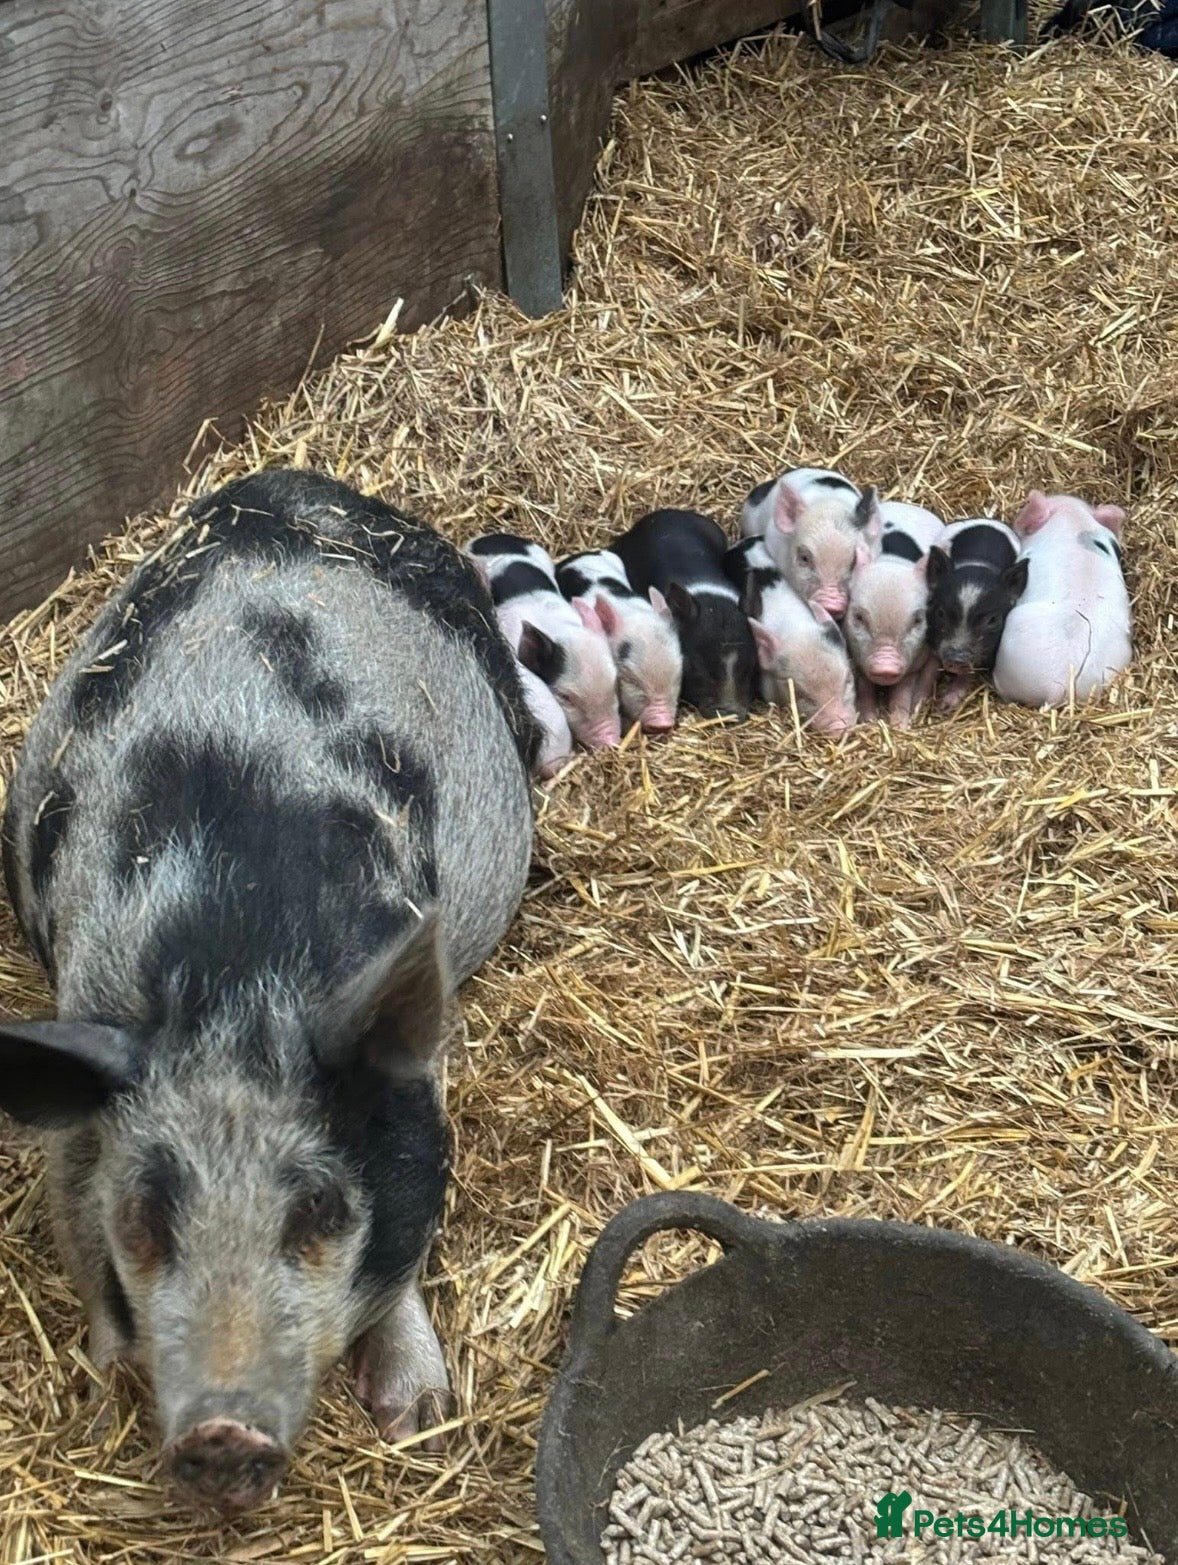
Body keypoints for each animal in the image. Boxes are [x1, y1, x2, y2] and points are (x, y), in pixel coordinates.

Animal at [0, 469, 540, 1514]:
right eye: (146, 1215)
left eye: (318, 1209)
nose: (221, 1432)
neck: (237, 976)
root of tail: (294, 479)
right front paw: (105, 1384)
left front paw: (420, 1415)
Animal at [844, 499, 945, 728]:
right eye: (859, 617)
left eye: (917, 620)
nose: (885, 667)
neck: (892, 562)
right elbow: (865, 688)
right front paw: (870, 721)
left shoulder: (914, 663)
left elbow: (902, 693)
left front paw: (901, 726)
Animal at [925, 518, 1027, 712]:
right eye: (940, 613)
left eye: (993, 620)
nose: (957, 659)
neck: (978, 566)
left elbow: (971, 672)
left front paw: (946, 705)